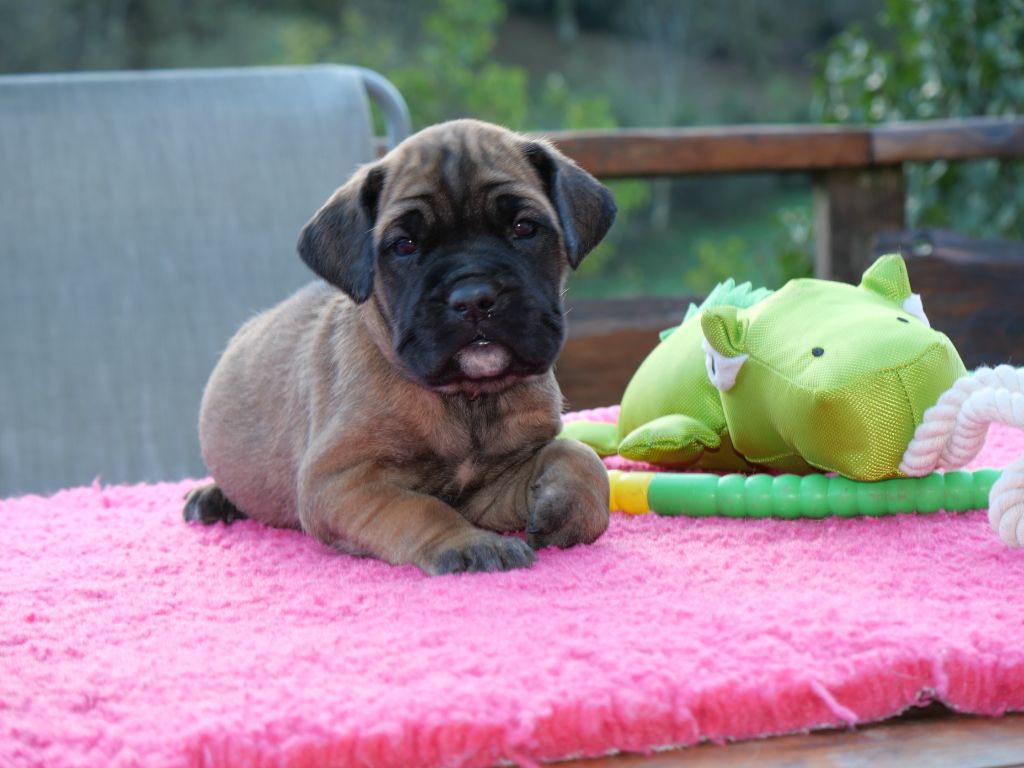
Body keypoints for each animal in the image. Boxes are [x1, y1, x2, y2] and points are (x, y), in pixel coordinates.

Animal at [184, 120, 614, 573]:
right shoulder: (342, 482)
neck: (467, 401)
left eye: (524, 228)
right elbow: (419, 509)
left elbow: (580, 456)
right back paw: (211, 497)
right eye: (404, 245)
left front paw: (564, 505)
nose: (474, 297)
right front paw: (467, 543)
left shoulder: (492, 484)